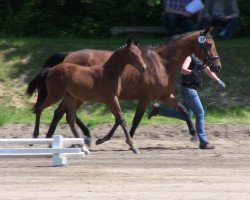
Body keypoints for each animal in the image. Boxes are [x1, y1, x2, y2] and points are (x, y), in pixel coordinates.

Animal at [27, 27, 223, 147]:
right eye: (208, 44)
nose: (217, 66)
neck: (161, 63)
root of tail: (67, 56)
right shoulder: (145, 98)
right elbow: (135, 120)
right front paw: (127, 141)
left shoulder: (164, 96)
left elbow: (183, 110)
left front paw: (197, 137)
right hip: (76, 95)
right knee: (58, 112)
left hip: (75, 95)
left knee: (59, 113)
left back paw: (56, 138)